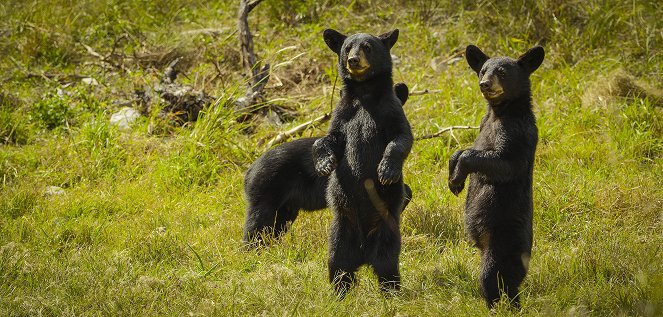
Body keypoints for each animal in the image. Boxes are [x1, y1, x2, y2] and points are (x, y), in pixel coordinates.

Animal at [314, 28, 412, 296]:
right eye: (348, 47)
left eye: (367, 47)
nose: (353, 60)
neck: (364, 92)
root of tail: (364, 254)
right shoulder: (343, 114)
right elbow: (329, 138)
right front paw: (324, 163)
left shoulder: (390, 109)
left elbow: (401, 137)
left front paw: (387, 170)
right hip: (341, 228)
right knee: (337, 264)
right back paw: (339, 293)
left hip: (386, 229)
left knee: (388, 262)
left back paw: (392, 293)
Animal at [452, 43, 544, 306]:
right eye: (483, 70)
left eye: (502, 72)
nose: (484, 84)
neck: (499, 113)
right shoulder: (483, 125)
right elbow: (464, 149)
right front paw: (453, 178)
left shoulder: (517, 133)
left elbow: (503, 162)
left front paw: (457, 177)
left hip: (503, 240)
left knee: (494, 277)